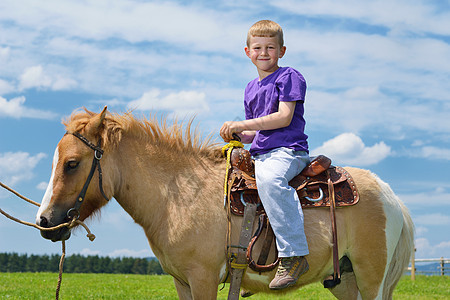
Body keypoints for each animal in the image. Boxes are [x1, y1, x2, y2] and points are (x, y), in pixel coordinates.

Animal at [36, 106, 414, 298]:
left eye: (72, 163)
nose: (44, 222)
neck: (176, 195)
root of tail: (390, 195)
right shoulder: (182, 282)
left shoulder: (202, 278)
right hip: (345, 281)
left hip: (369, 278)